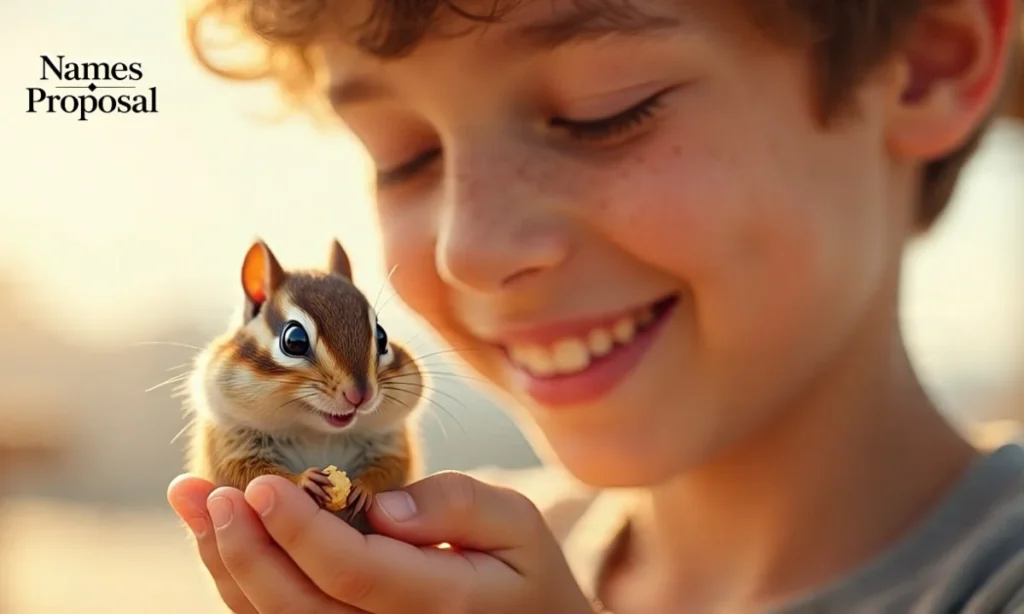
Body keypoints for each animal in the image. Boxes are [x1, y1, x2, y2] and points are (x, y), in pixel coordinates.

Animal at [184, 238, 424, 533]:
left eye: (382, 336)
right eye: (294, 340)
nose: (361, 394)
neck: (315, 432)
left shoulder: (390, 444)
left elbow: (391, 469)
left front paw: (363, 488)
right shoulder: (231, 445)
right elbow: (246, 474)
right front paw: (303, 481)